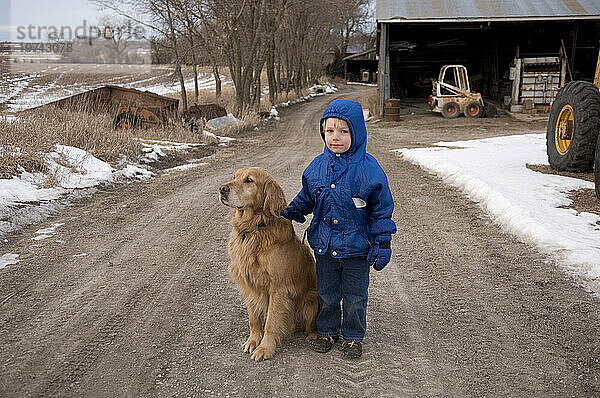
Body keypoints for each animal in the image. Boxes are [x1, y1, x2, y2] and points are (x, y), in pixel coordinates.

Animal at [217, 167, 318, 360]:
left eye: (249, 180)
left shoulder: (277, 288)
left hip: (312, 297)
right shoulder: (249, 285)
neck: (255, 228)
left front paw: (264, 348)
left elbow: (271, 322)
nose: (222, 189)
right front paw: (252, 341)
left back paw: (314, 336)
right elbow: (254, 319)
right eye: (234, 177)